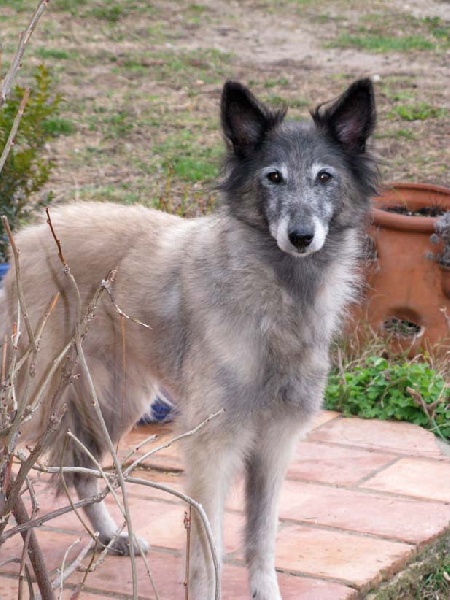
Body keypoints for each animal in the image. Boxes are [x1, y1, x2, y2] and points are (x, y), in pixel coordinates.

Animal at [0, 77, 376, 596]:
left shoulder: (275, 444)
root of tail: (30, 235)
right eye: (273, 177)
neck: (276, 296)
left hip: (115, 401)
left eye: (325, 177)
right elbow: (207, 551)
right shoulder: (210, 448)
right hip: (37, 395)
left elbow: (261, 538)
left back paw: (111, 536)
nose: (301, 236)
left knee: (84, 473)